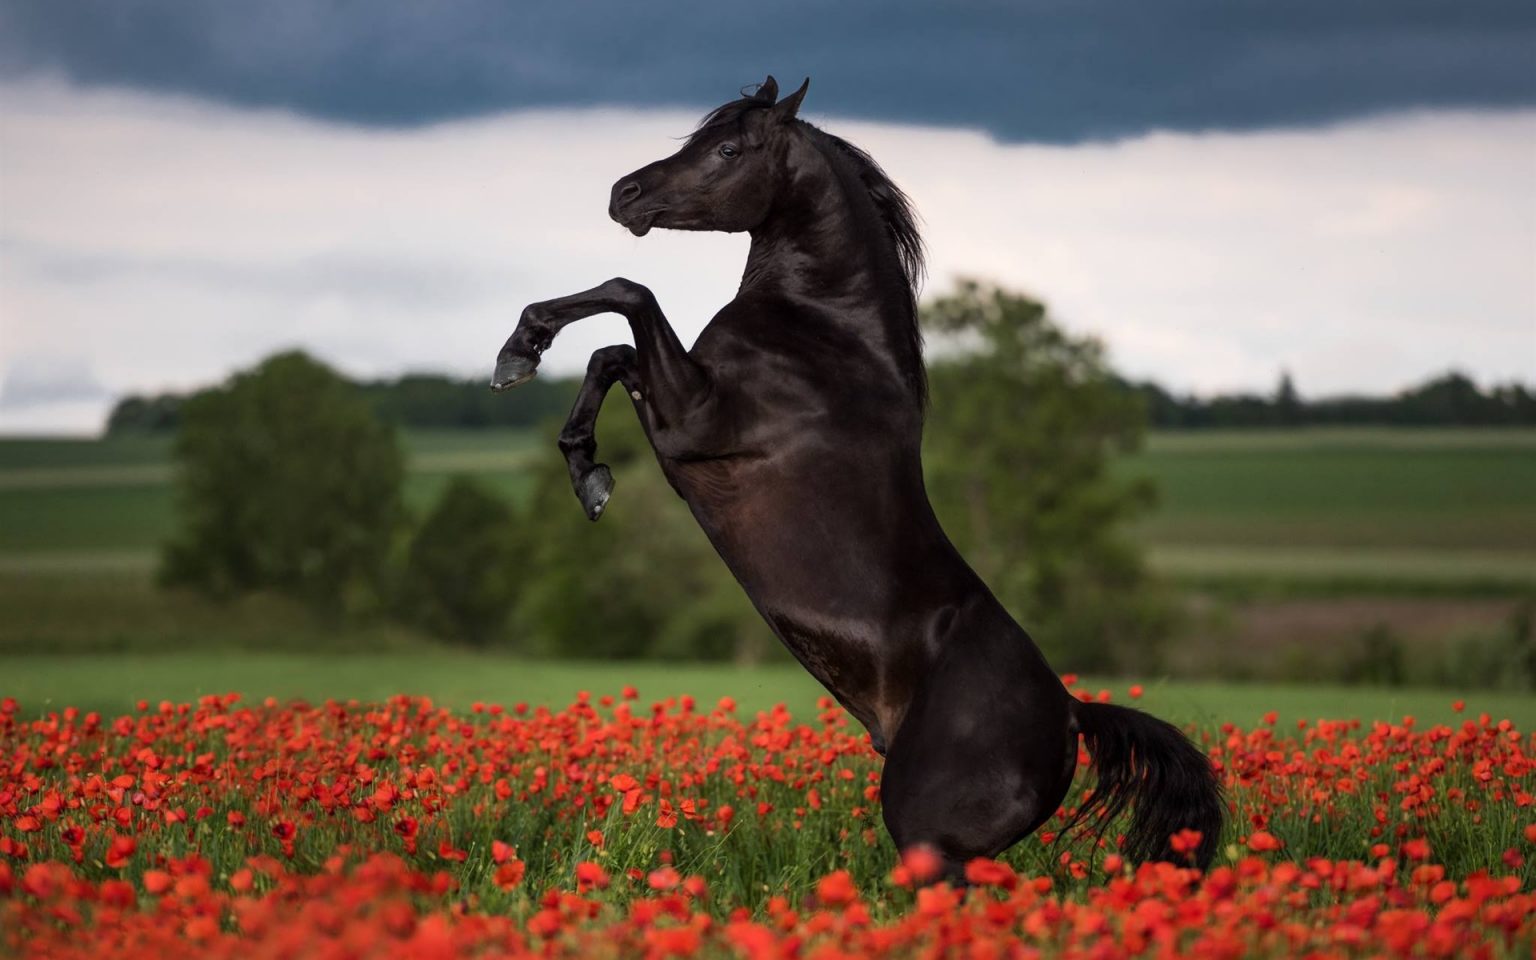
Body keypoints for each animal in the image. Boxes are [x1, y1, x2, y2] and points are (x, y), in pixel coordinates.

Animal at [494, 78, 1222, 878]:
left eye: (727, 148)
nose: (624, 194)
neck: (823, 331)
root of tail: (1070, 715)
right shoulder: (672, 399)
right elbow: (611, 355)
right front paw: (584, 467)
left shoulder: (692, 420)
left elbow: (630, 295)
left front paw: (521, 349)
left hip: (926, 832)